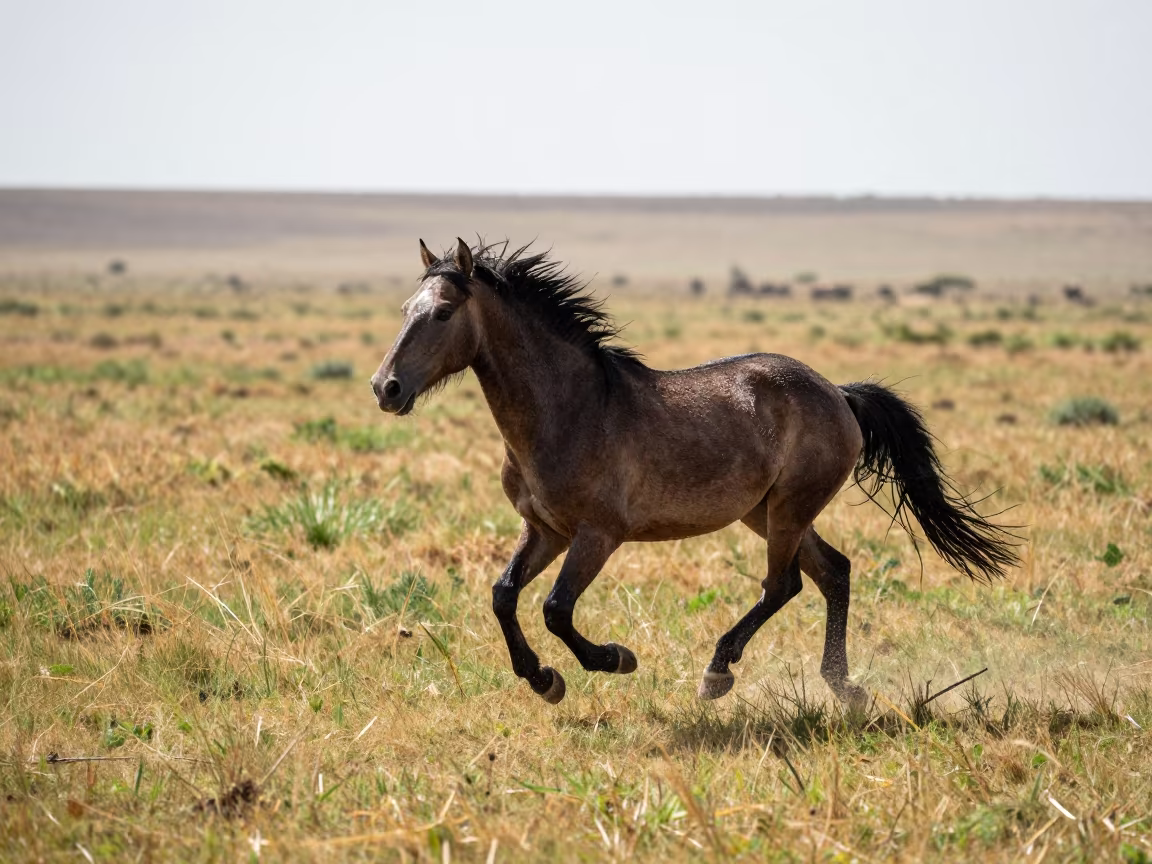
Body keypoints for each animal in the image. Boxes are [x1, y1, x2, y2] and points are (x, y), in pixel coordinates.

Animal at [371, 239, 1018, 707]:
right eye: (405, 310)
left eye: (444, 312)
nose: (386, 388)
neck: (570, 410)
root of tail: (838, 392)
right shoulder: (546, 531)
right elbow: (504, 596)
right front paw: (544, 680)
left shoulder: (597, 535)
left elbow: (556, 609)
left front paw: (614, 659)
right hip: (768, 512)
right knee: (833, 573)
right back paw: (843, 687)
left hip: (788, 509)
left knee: (783, 585)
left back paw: (717, 673)